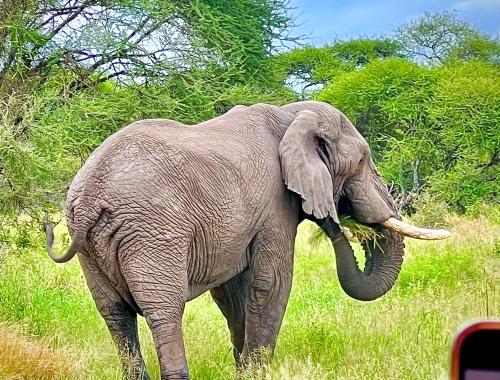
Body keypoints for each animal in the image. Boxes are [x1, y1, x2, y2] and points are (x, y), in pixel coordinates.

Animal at [44, 101, 450, 380]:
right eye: (363, 161)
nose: (336, 218)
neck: (293, 115)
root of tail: (91, 192)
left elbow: (232, 293)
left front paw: (243, 370)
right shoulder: (274, 205)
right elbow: (271, 284)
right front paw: (257, 372)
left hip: (91, 245)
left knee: (115, 314)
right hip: (154, 233)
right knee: (164, 311)